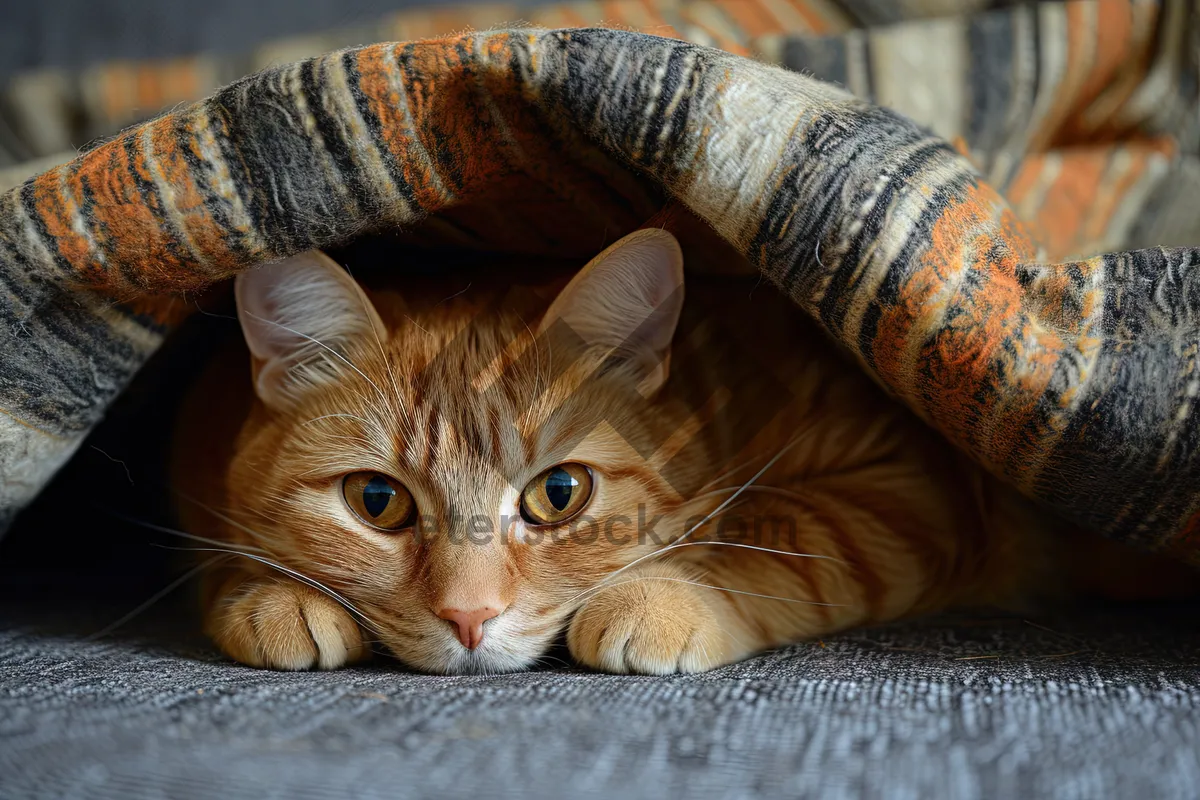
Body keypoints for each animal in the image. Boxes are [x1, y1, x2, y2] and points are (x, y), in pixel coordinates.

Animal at [174, 226, 1195, 676]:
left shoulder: (910, 484)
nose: (470, 619)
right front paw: (270, 593)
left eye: (558, 496)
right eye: (377, 502)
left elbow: (775, 526)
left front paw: (661, 597)